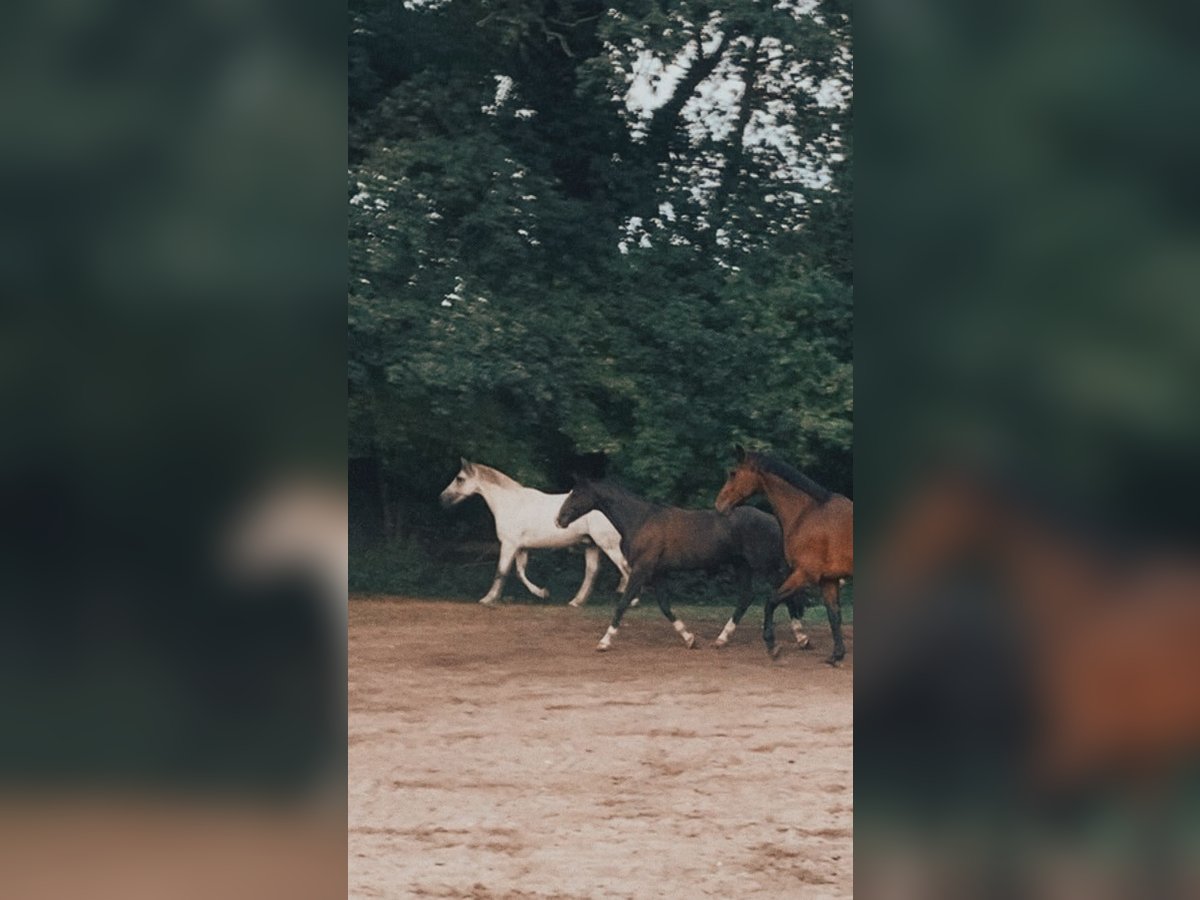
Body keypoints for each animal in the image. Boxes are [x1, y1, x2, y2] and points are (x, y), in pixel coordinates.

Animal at [436, 460, 633, 609]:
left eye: (460, 479)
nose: (442, 499)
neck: (511, 504)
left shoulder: (509, 545)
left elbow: (501, 572)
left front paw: (488, 598)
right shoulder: (521, 548)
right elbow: (519, 572)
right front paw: (542, 593)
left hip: (608, 545)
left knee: (625, 568)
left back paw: (628, 599)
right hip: (592, 545)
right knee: (592, 572)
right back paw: (576, 602)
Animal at [556, 480, 811, 657]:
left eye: (577, 494)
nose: (559, 520)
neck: (640, 520)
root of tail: (773, 520)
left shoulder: (641, 570)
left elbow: (623, 604)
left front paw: (604, 642)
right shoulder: (657, 573)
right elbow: (665, 606)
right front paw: (690, 639)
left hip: (764, 565)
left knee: (782, 594)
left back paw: (802, 638)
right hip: (742, 565)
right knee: (747, 597)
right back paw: (722, 639)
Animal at [710, 448, 854, 667]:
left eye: (733, 473)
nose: (719, 504)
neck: (806, 513)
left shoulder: (804, 574)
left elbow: (771, 601)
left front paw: (772, 646)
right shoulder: (828, 580)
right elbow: (834, 616)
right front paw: (836, 655)